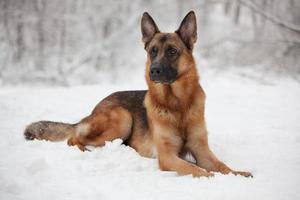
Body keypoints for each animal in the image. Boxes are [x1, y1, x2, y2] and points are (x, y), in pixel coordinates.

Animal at [24, 10, 252, 177]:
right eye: (153, 51)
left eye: (172, 51)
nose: (154, 70)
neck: (177, 105)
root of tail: (94, 109)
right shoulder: (168, 157)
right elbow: (195, 168)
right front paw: (208, 176)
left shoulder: (202, 151)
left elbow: (222, 165)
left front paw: (238, 173)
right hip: (121, 118)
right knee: (73, 138)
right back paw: (87, 150)